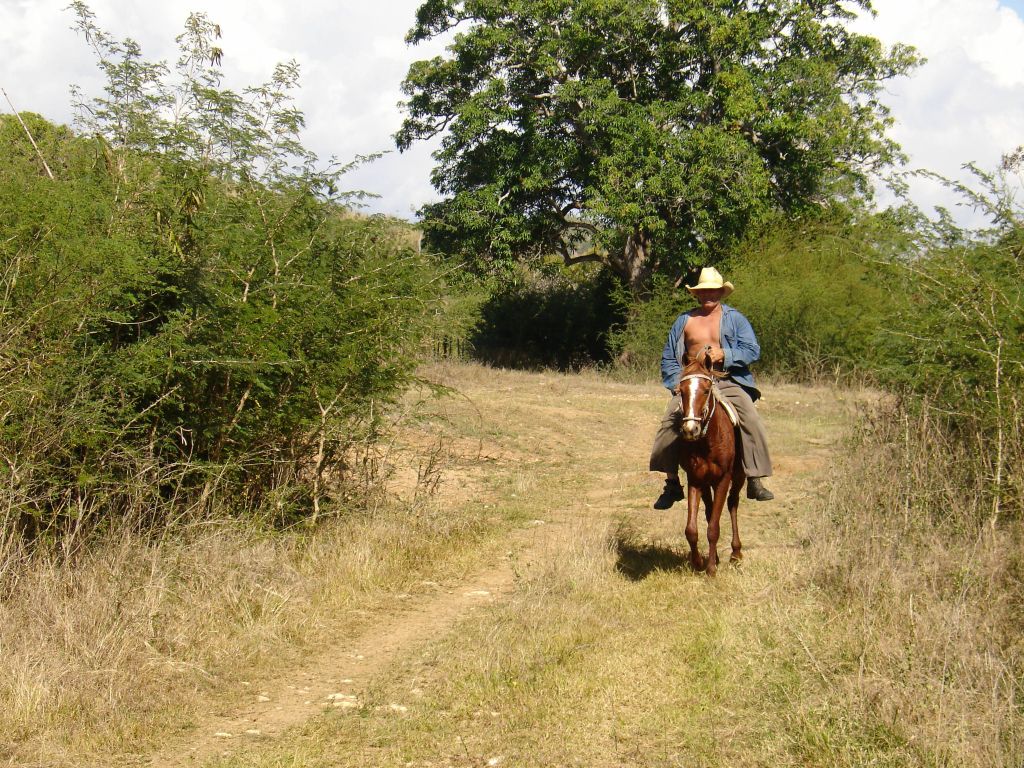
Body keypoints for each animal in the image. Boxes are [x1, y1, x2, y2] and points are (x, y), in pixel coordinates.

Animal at [675, 346, 741, 573]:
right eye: (681, 391)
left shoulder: (723, 479)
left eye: (705, 390)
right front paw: (697, 563)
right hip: (706, 483)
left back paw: (736, 552)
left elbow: (713, 528)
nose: (690, 429)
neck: (708, 442)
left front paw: (711, 569)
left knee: (732, 504)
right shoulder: (695, 479)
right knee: (711, 508)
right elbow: (691, 529)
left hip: (738, 479)